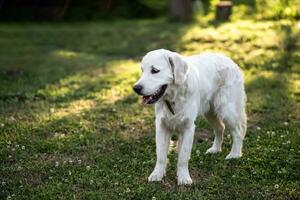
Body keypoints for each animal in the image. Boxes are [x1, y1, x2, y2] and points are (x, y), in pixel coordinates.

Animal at [133, 49, 246, 185]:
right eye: (142, 70)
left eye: (154, 70)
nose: (136, 88)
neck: (174, 98)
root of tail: (229, 60)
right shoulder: (161, 126)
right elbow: (160, 155)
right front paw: (157, 174)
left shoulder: (188, 127)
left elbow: (183, 156)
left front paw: (183, 177)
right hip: (210, 112)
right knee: (220, 128)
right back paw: (215, 149)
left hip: (228, 111)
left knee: (238, 132)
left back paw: (234, 155)